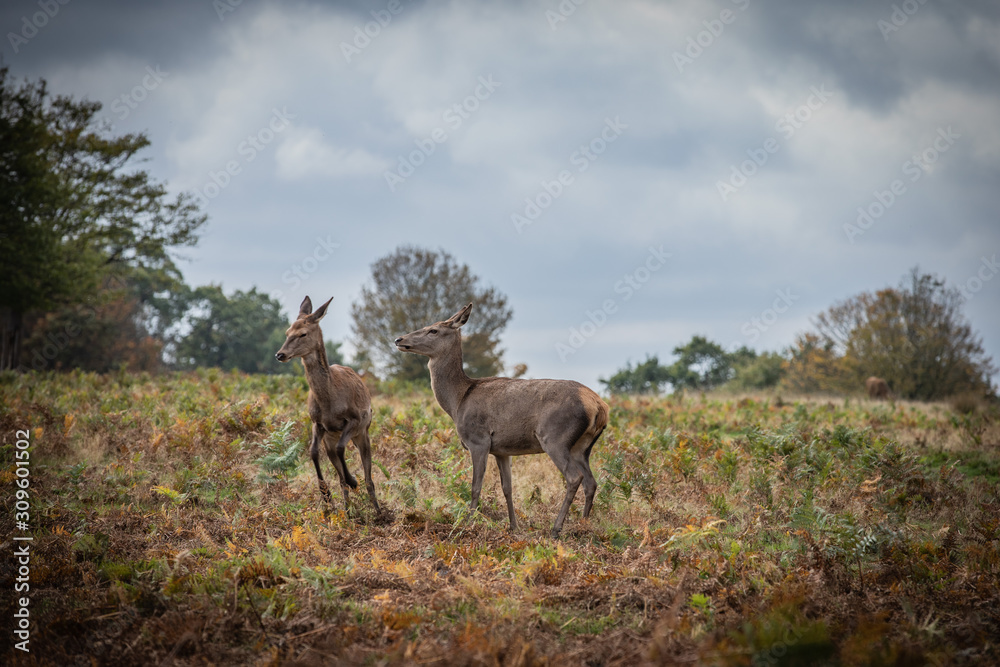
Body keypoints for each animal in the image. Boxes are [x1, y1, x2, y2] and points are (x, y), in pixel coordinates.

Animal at [275, 296, 381, 515]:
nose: (280, 354)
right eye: (288, 332)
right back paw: (347, 512)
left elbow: (342, 449)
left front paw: (353, 480)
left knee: (369, 477)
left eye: (303, 333)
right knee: (339, 474)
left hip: (363, 432)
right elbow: (313, 452)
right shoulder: (317, 423)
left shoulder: (353, 420)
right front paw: (325, 495)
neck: (330, 402)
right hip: (331, 439)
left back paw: (378, 511)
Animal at [394, 303, 609, 539]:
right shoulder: (502, 450)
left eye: (433, 330)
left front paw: (468, 524)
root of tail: (599, 407)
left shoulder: (478, 440)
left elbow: (475, 486)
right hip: (582, 446)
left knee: (573, 477)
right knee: (591, 482)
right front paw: (513, 526)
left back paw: (556, 528)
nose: (399, 339)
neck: (457, 401)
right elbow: (507, 488)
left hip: (555, 438)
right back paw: (584, 525)